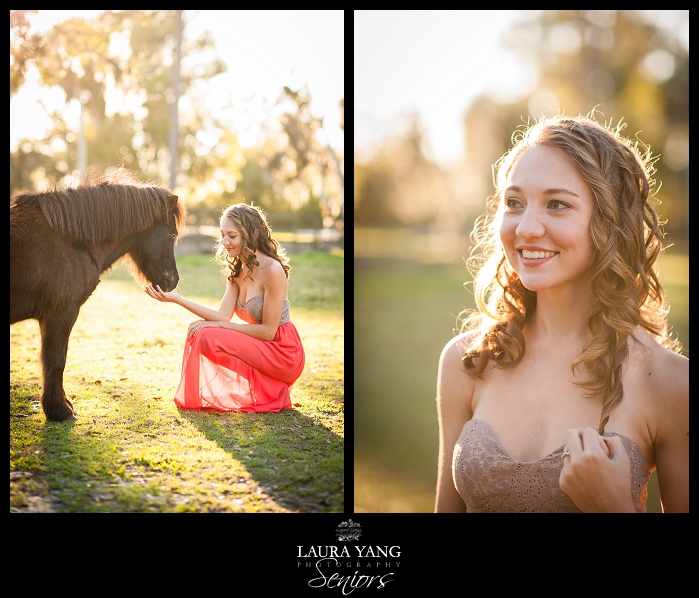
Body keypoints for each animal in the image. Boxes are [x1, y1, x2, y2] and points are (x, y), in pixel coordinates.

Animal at [11, 166, 186, 424]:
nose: (172, 281)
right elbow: (56, 359)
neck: (69, 240)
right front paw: (60, 410)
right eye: (172, 234)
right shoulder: (61, 314)